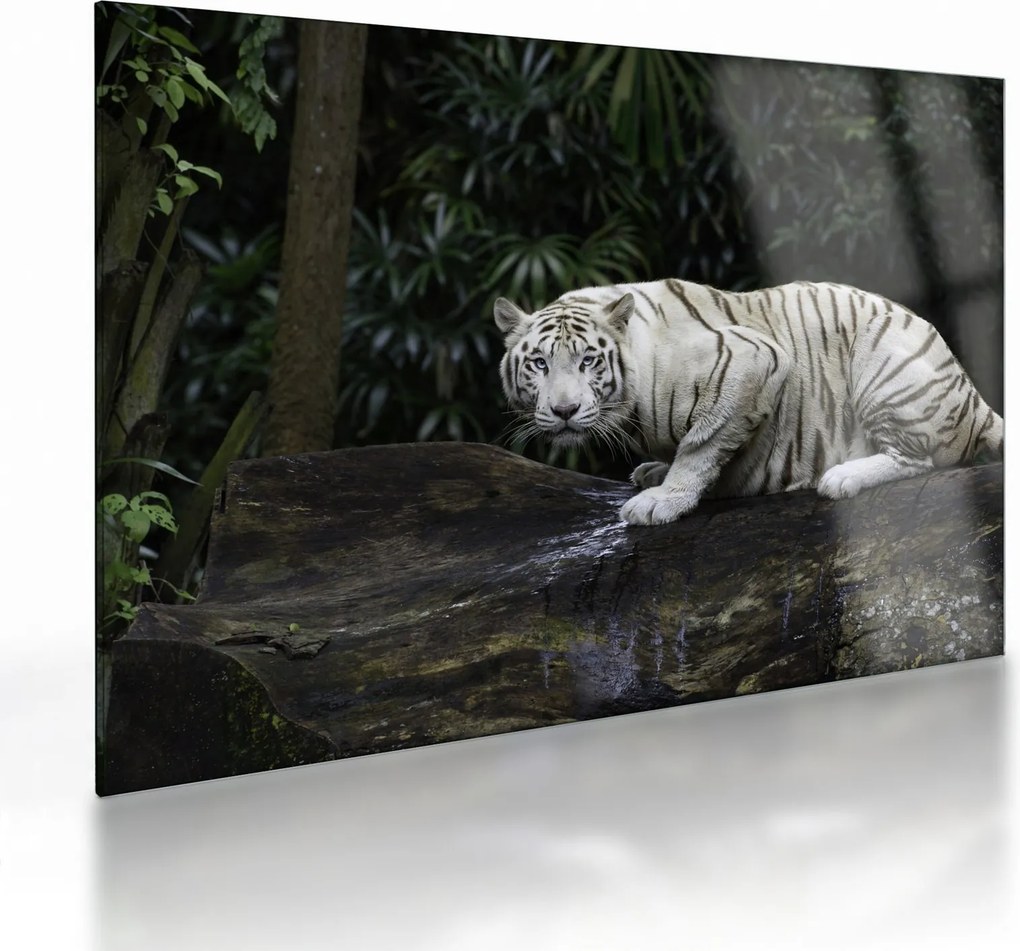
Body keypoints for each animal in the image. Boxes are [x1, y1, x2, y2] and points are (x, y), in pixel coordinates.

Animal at [494, 279, 1003, 525]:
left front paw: (663, 501)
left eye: (589, 361)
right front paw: (655, 474)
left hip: (885, 364)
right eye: (539, 363)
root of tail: (973, 398)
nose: (563, 412)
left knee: (920, 458)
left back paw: (841, 476)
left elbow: (701, 445)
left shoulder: (754, 360)